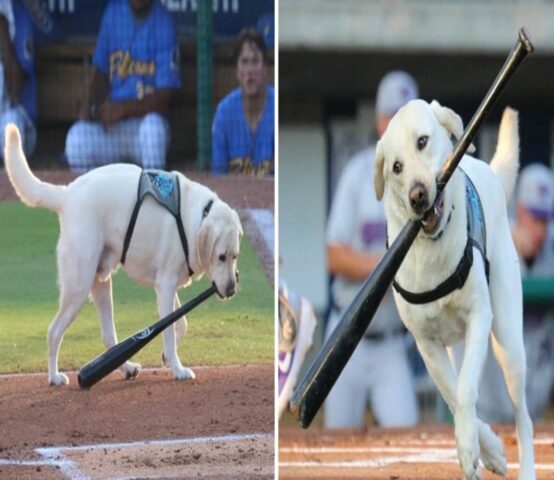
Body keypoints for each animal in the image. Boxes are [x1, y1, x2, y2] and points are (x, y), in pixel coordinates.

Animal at [4, 124, 240, 386]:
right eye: (221, 257)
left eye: (235, 256)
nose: (232, 290)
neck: (198, 215)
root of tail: (68, 194)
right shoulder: (166, 286)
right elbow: (169, 331)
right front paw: (178, 369)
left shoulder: (165, 287)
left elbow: (180, 324)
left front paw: (166, 357)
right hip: (78, 287)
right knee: (53, 331)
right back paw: (54, 377)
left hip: (101, 283)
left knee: (109, 338)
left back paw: (127, 368)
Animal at [374, 102, 532, 480]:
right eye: (396, 167)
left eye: (423, 141)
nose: (418, 197)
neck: (430, 249)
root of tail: (488, 171)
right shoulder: (426, 343)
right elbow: (453, 393)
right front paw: (485, 450)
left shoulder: (479, 317)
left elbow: (465, 389)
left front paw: (472, 446)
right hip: (454, 346)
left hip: (508, 343)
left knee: (524, 417)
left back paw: (528, 469)